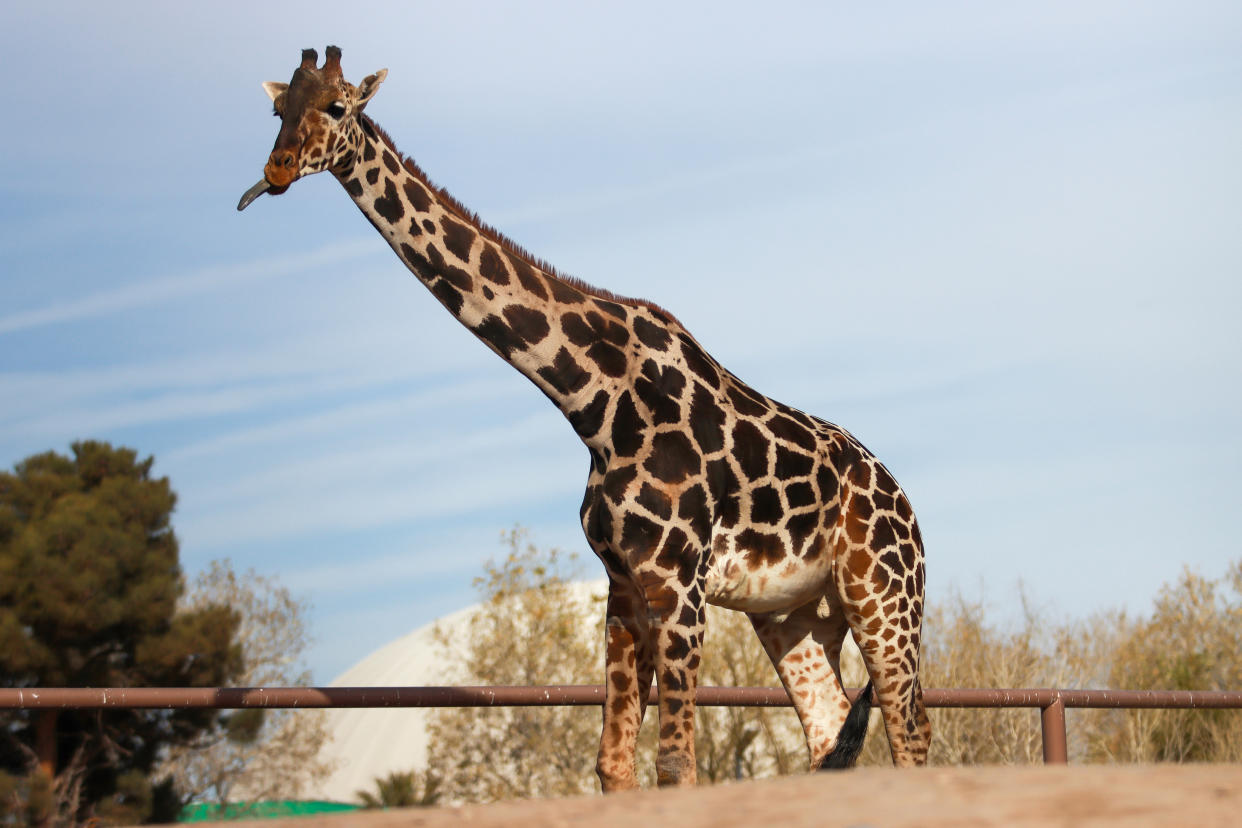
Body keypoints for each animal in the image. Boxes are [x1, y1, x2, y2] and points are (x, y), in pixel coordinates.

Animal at [237, 46, 929, 789]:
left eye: (337, 106)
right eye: (278, 110)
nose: (277, 170)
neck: (593, 404)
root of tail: (904, 501)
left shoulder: (677, 586)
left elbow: (675, 765)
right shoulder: (624, 587)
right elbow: (613, 763)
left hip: (885, 597)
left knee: (911, 733)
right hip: (793, 613)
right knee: (830, 732)